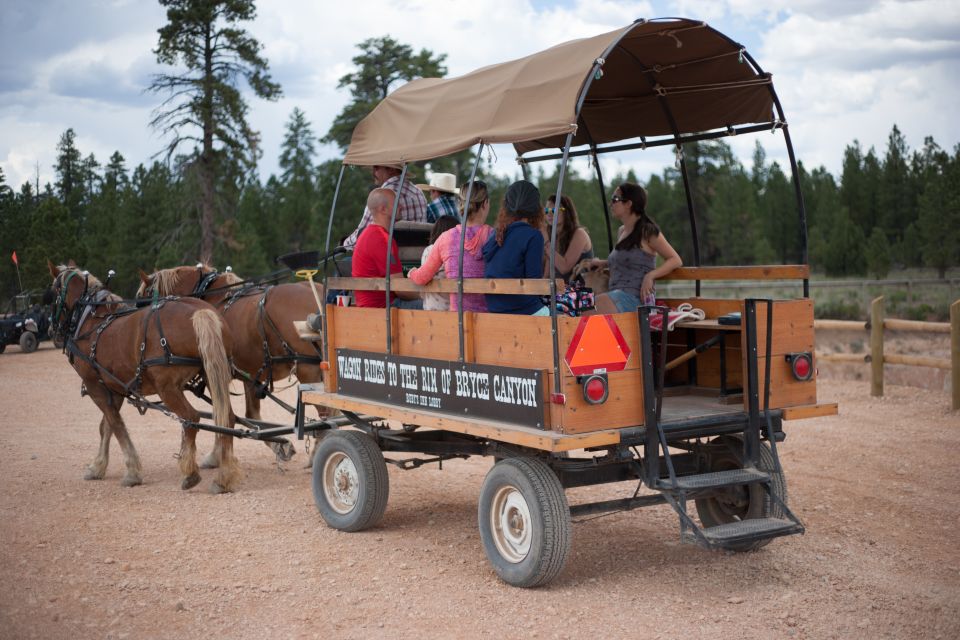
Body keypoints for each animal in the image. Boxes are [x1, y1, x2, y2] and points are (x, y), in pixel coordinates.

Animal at [50, 262, 242, 492]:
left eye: (52, 292)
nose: (52, 329)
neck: (90, 322)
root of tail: (201, 312)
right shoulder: (115, 388)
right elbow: (106, 426)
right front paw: (98, 467)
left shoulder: (96, 386)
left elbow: (116, 426)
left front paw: (132, 472)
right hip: (212, 374)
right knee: (226, 418)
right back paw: (224, 476)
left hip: (168, 388)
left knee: (191, 418)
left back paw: (190, 472)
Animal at [135, 264, 330, 464]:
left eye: (141, 298)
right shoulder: (251, 374)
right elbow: (249, 414)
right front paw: (280, 446)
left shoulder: (216, 374)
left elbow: (221, 414)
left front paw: (215, 456)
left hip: (308, 369)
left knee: (326, 413)